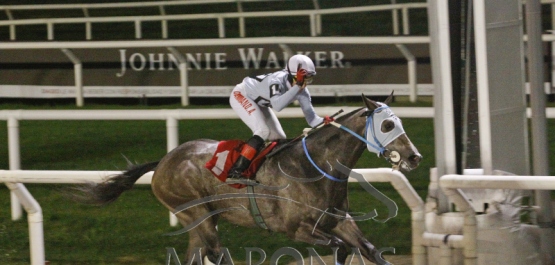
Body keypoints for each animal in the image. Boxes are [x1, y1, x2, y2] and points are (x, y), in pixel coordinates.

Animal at [74, 93, 422, 264]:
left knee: (196, 255)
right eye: (387, 125)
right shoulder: (297, 229)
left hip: (198, 220)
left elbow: (370, 250)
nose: (414, 157)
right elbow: (339, 249)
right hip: (196, 212)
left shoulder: (339, 220)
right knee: (217, 253)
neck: (315, 167)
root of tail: (163, 161)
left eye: (400, 122)